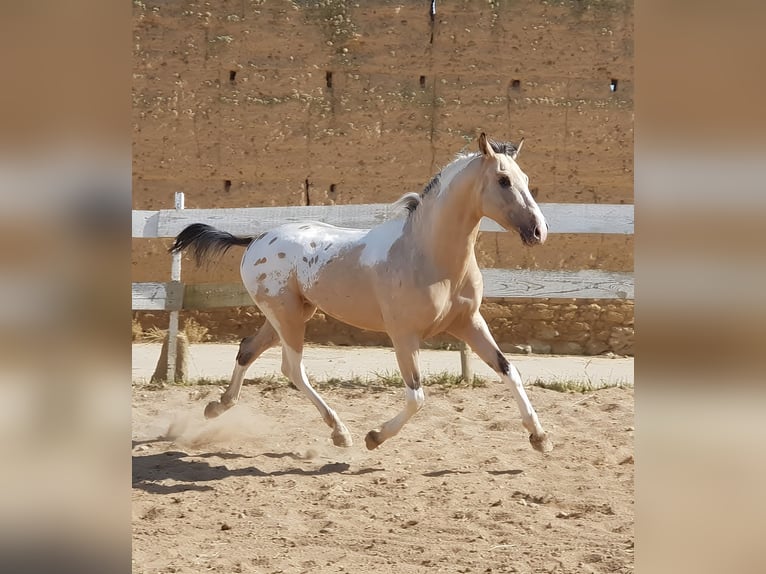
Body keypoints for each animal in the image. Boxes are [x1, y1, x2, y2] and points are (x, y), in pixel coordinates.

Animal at [170, 133, 553, 453]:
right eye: (503, 180)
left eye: (526, 179)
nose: (538, 231)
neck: (428, 255)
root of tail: (256, 239)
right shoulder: (404, 335)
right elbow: (417, 396)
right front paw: (374, 437)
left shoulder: (469, 323)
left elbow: (509, 369)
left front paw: (540, 437)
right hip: (287, 317)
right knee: (292, 369)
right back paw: (341, 432)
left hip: (291, 314)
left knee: (248, 350)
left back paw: (218, 406)